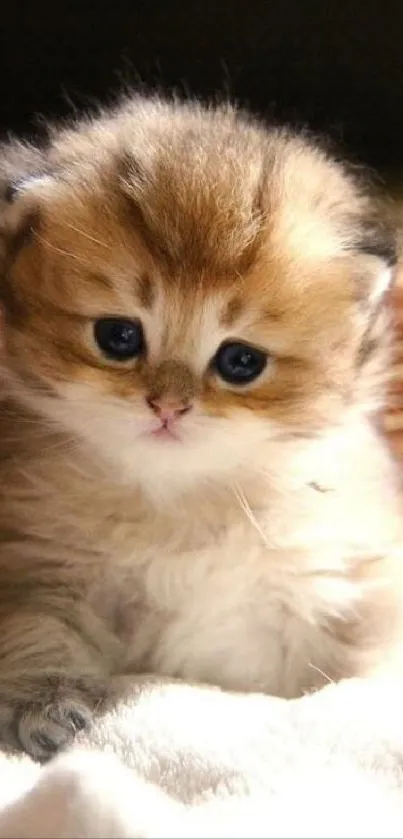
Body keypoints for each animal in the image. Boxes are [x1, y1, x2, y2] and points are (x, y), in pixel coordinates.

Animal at [0, 95, 402, 764]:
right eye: (118, 336)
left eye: (241, 362)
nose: (167, 406)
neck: (176, 505)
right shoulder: (36, 572)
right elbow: (36, 636)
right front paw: (49, 708)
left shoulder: (333, 589)